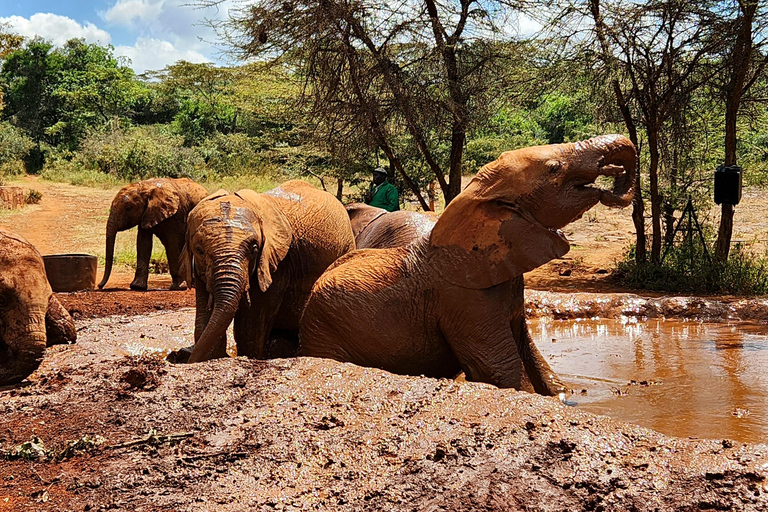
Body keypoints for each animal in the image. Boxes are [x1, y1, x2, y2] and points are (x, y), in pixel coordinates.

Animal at [180, 181, 356, 364]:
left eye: (254, 248)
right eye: (199, 250)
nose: (189, 360)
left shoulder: (279, 264)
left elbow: (251, 324)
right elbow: (204, 315)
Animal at [300, 135, 636, 392]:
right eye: (554, 168)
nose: (614, 172)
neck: (476, 196)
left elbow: (533, 358)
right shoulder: (464, 300)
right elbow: (499, 369)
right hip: (326, 330)